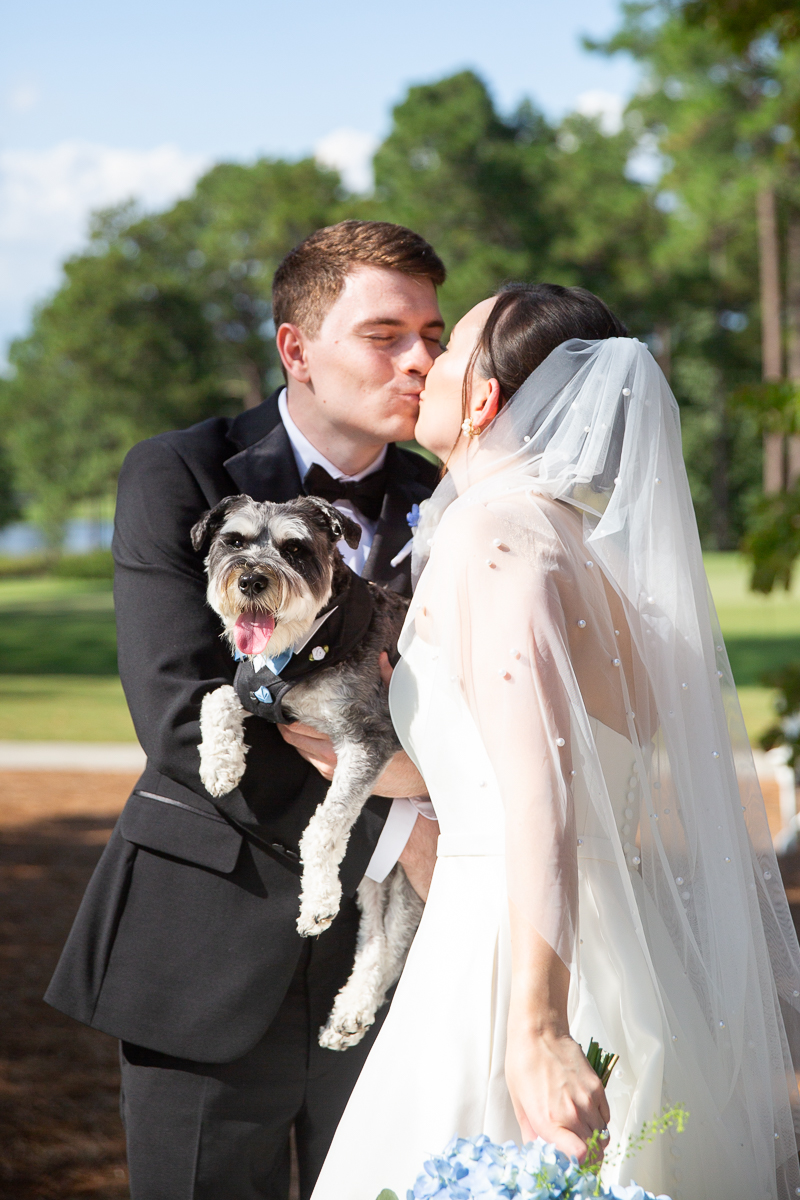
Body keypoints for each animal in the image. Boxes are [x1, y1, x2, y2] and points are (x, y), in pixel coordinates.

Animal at [190, 492, 424, 1046]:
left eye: (294, 549)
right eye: (232, 541)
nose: (252, 580)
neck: (305, 652)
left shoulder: (366, 740)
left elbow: (323, 828)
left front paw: (316, 902)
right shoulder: (256, 694)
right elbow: (215, 698)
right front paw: (220, 766)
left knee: (396, 941)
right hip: (380, 877)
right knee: (379, 938)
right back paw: (349, 1016)